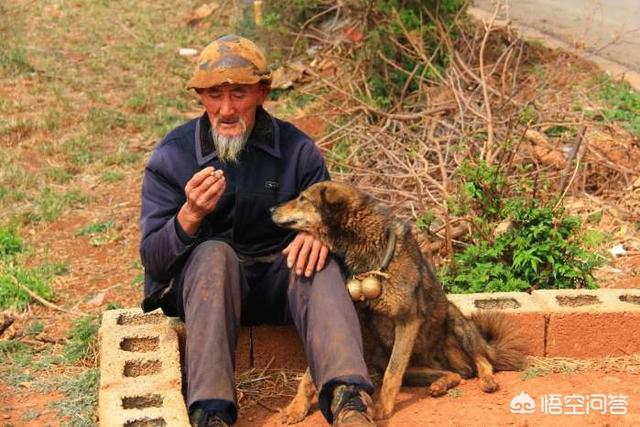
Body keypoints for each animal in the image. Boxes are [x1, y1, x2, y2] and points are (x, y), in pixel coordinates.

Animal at [270, 181, 524, 422]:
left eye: (303, 198)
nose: (271, 209)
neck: (369, 248)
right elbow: (309, 374)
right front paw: (296, 408)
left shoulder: (408, 321)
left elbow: (392, 374)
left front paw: (382, 409)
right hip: (394, 362)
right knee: (456, 375)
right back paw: (441, 383)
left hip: (456, 322)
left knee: (483, 359)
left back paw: (487, 379)